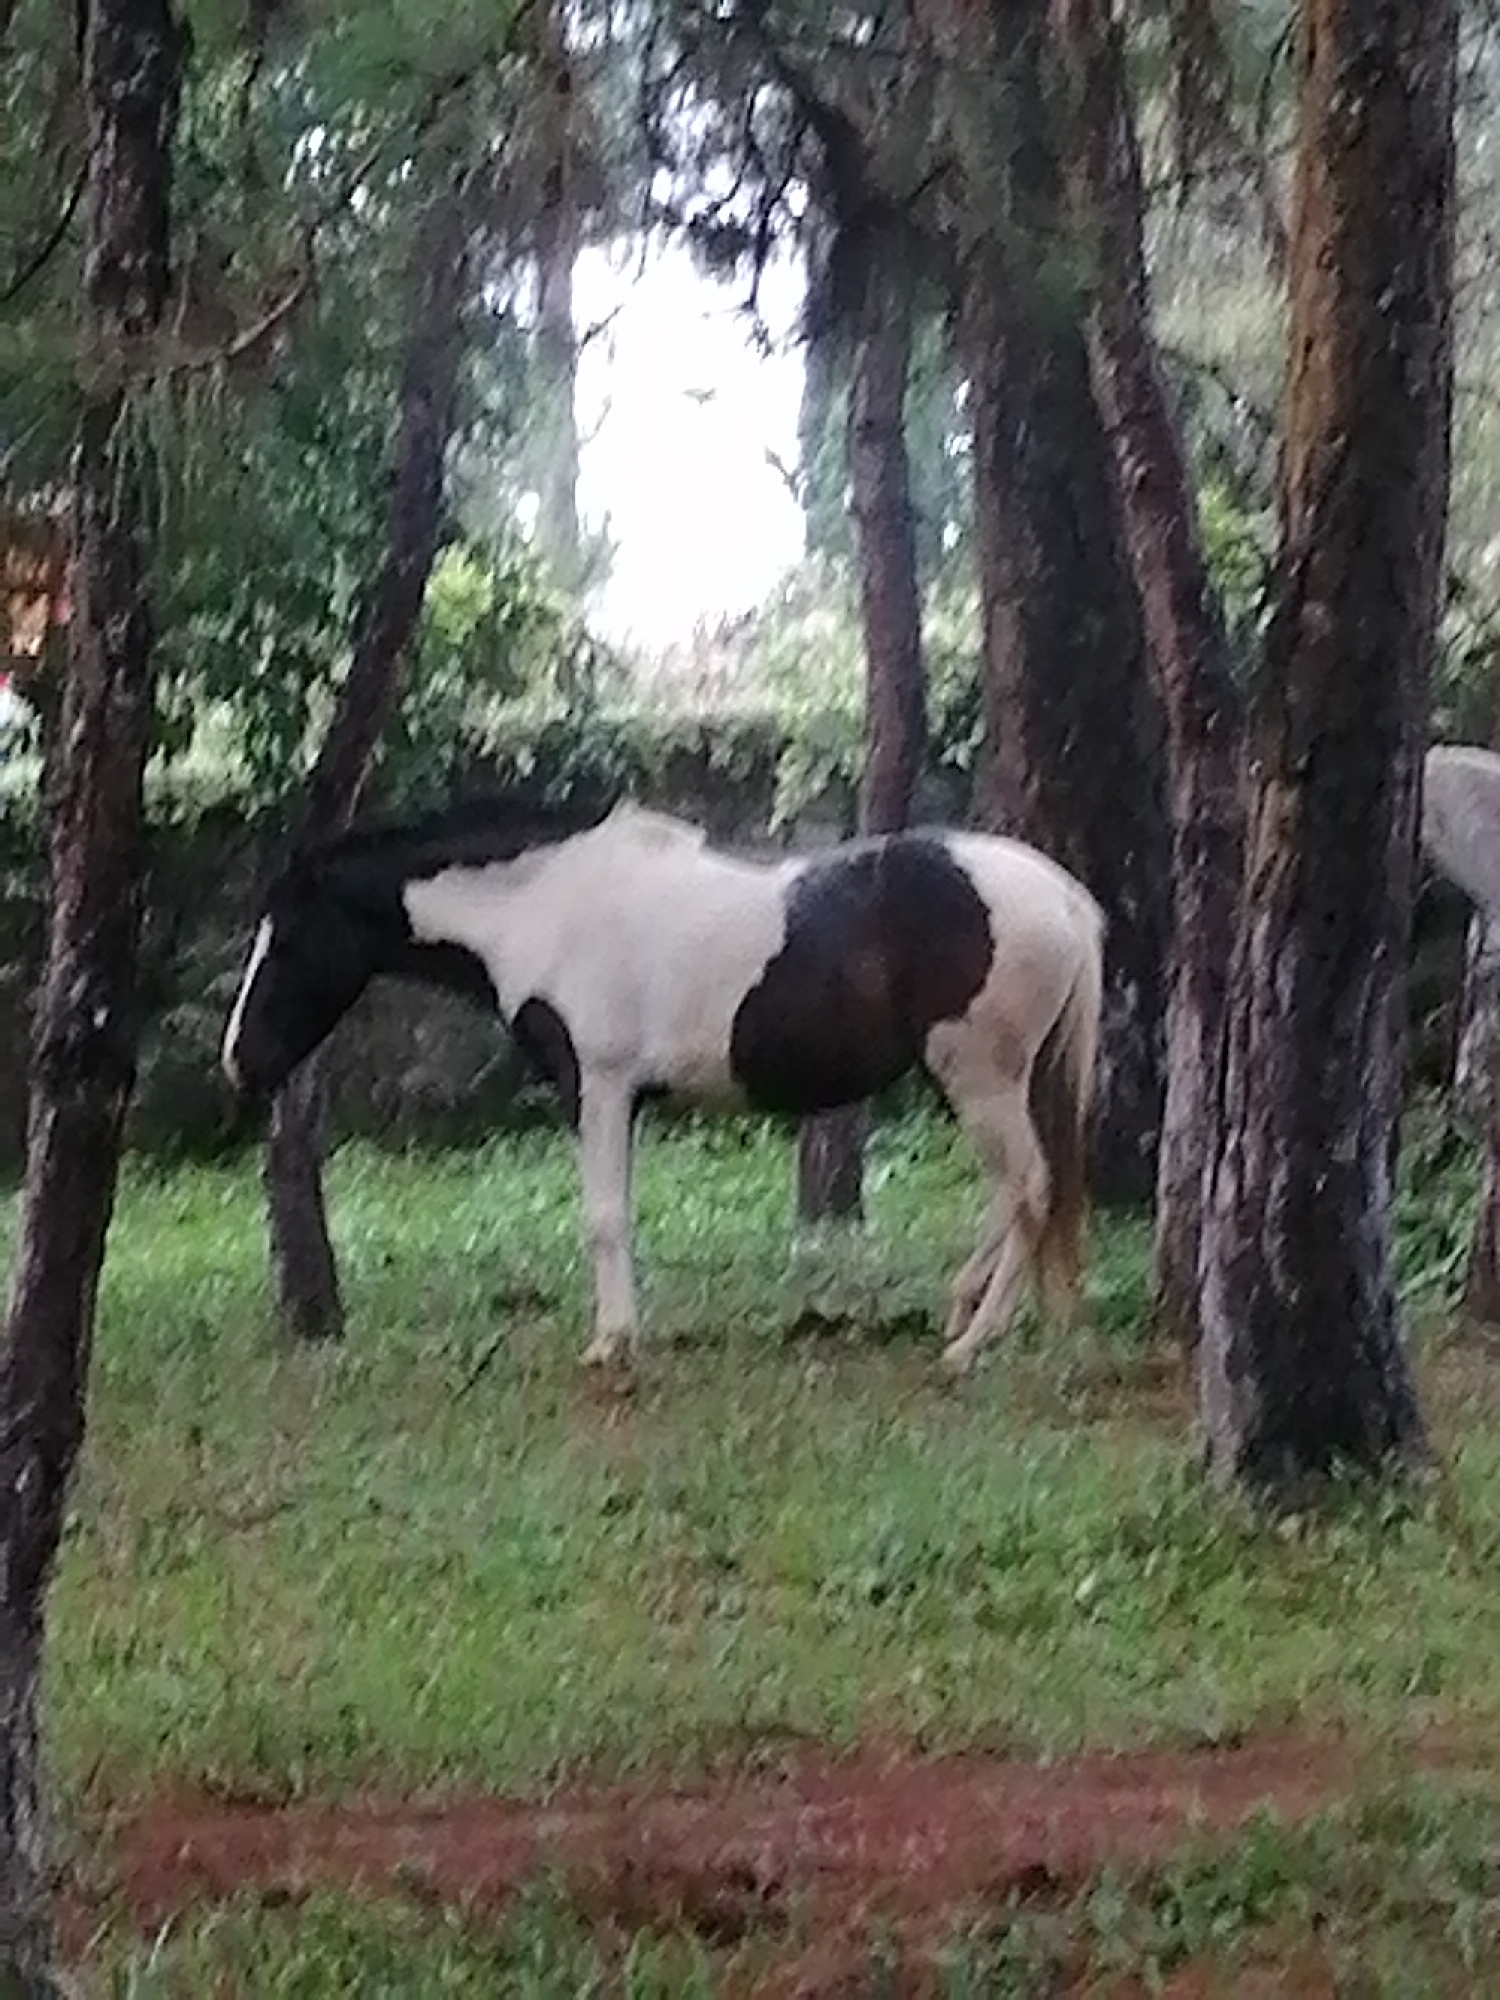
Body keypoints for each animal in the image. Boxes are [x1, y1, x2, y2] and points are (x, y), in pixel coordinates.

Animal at [221, 793, 1106, 1376]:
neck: (546, 906)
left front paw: (612, 1342)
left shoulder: (600, 1089)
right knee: (1019, 1191)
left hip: (980, 1078)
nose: (238, 1061)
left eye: (286, 940)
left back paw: (971, 1342)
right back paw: (964, 1306)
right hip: (989, 1081)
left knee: (1029, 1187)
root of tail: (1060, 893)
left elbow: (605, 1219)